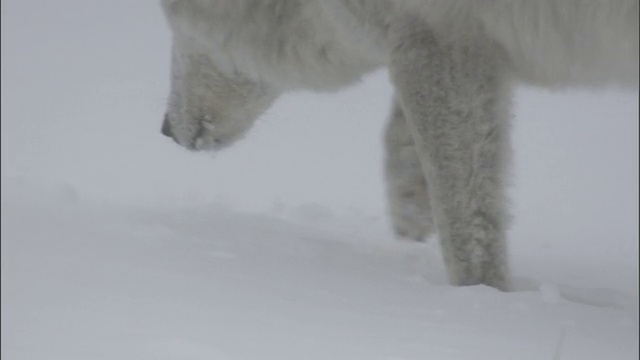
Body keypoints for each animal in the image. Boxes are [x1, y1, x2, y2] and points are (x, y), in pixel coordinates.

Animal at [158, 0, 636, 292]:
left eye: (174, 23)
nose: (164, 130)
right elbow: (403, 134)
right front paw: (410, 211)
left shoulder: (436, 38)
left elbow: (465, 227)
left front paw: (483, 299)